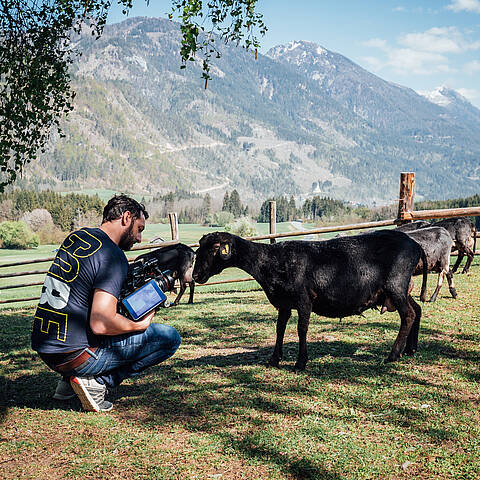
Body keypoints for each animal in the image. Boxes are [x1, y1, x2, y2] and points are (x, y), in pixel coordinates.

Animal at [193, 231, 426, 370]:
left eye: (215, 248)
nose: (195, 276)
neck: (270, 261)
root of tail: (415, 244)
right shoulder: (284, 302)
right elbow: (280, 328)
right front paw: (274, 359)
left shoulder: (304, 299)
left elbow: (301, 329)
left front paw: (300, 362)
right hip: (401, 289)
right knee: (417, 309)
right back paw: (410, 349)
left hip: (395, 285)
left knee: (408, 314)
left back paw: (393, 355)